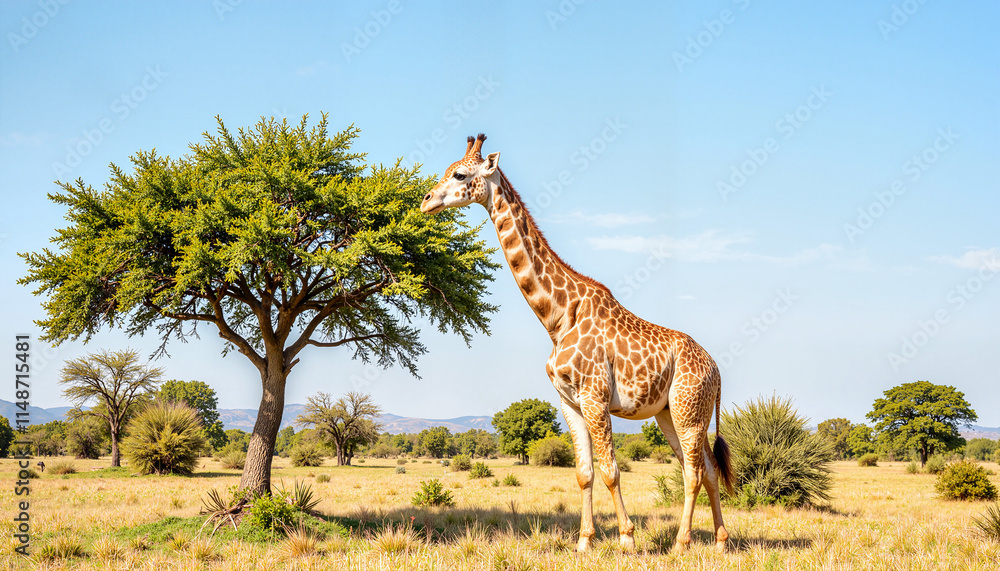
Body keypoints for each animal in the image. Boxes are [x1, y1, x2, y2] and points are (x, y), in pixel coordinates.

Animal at [420, 134, 735, 553]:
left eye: (460, 174)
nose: (426, 201)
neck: (556, 319)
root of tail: (716, 369)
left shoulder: (595, 397)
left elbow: (611, 471)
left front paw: (626, 539)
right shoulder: (568, 402)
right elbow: (585, 473)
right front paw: (584, 541)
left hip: (689, 411)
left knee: (694, 472)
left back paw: (682, 543)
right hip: (671, 413)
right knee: (706, 470)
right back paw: (719, 542)